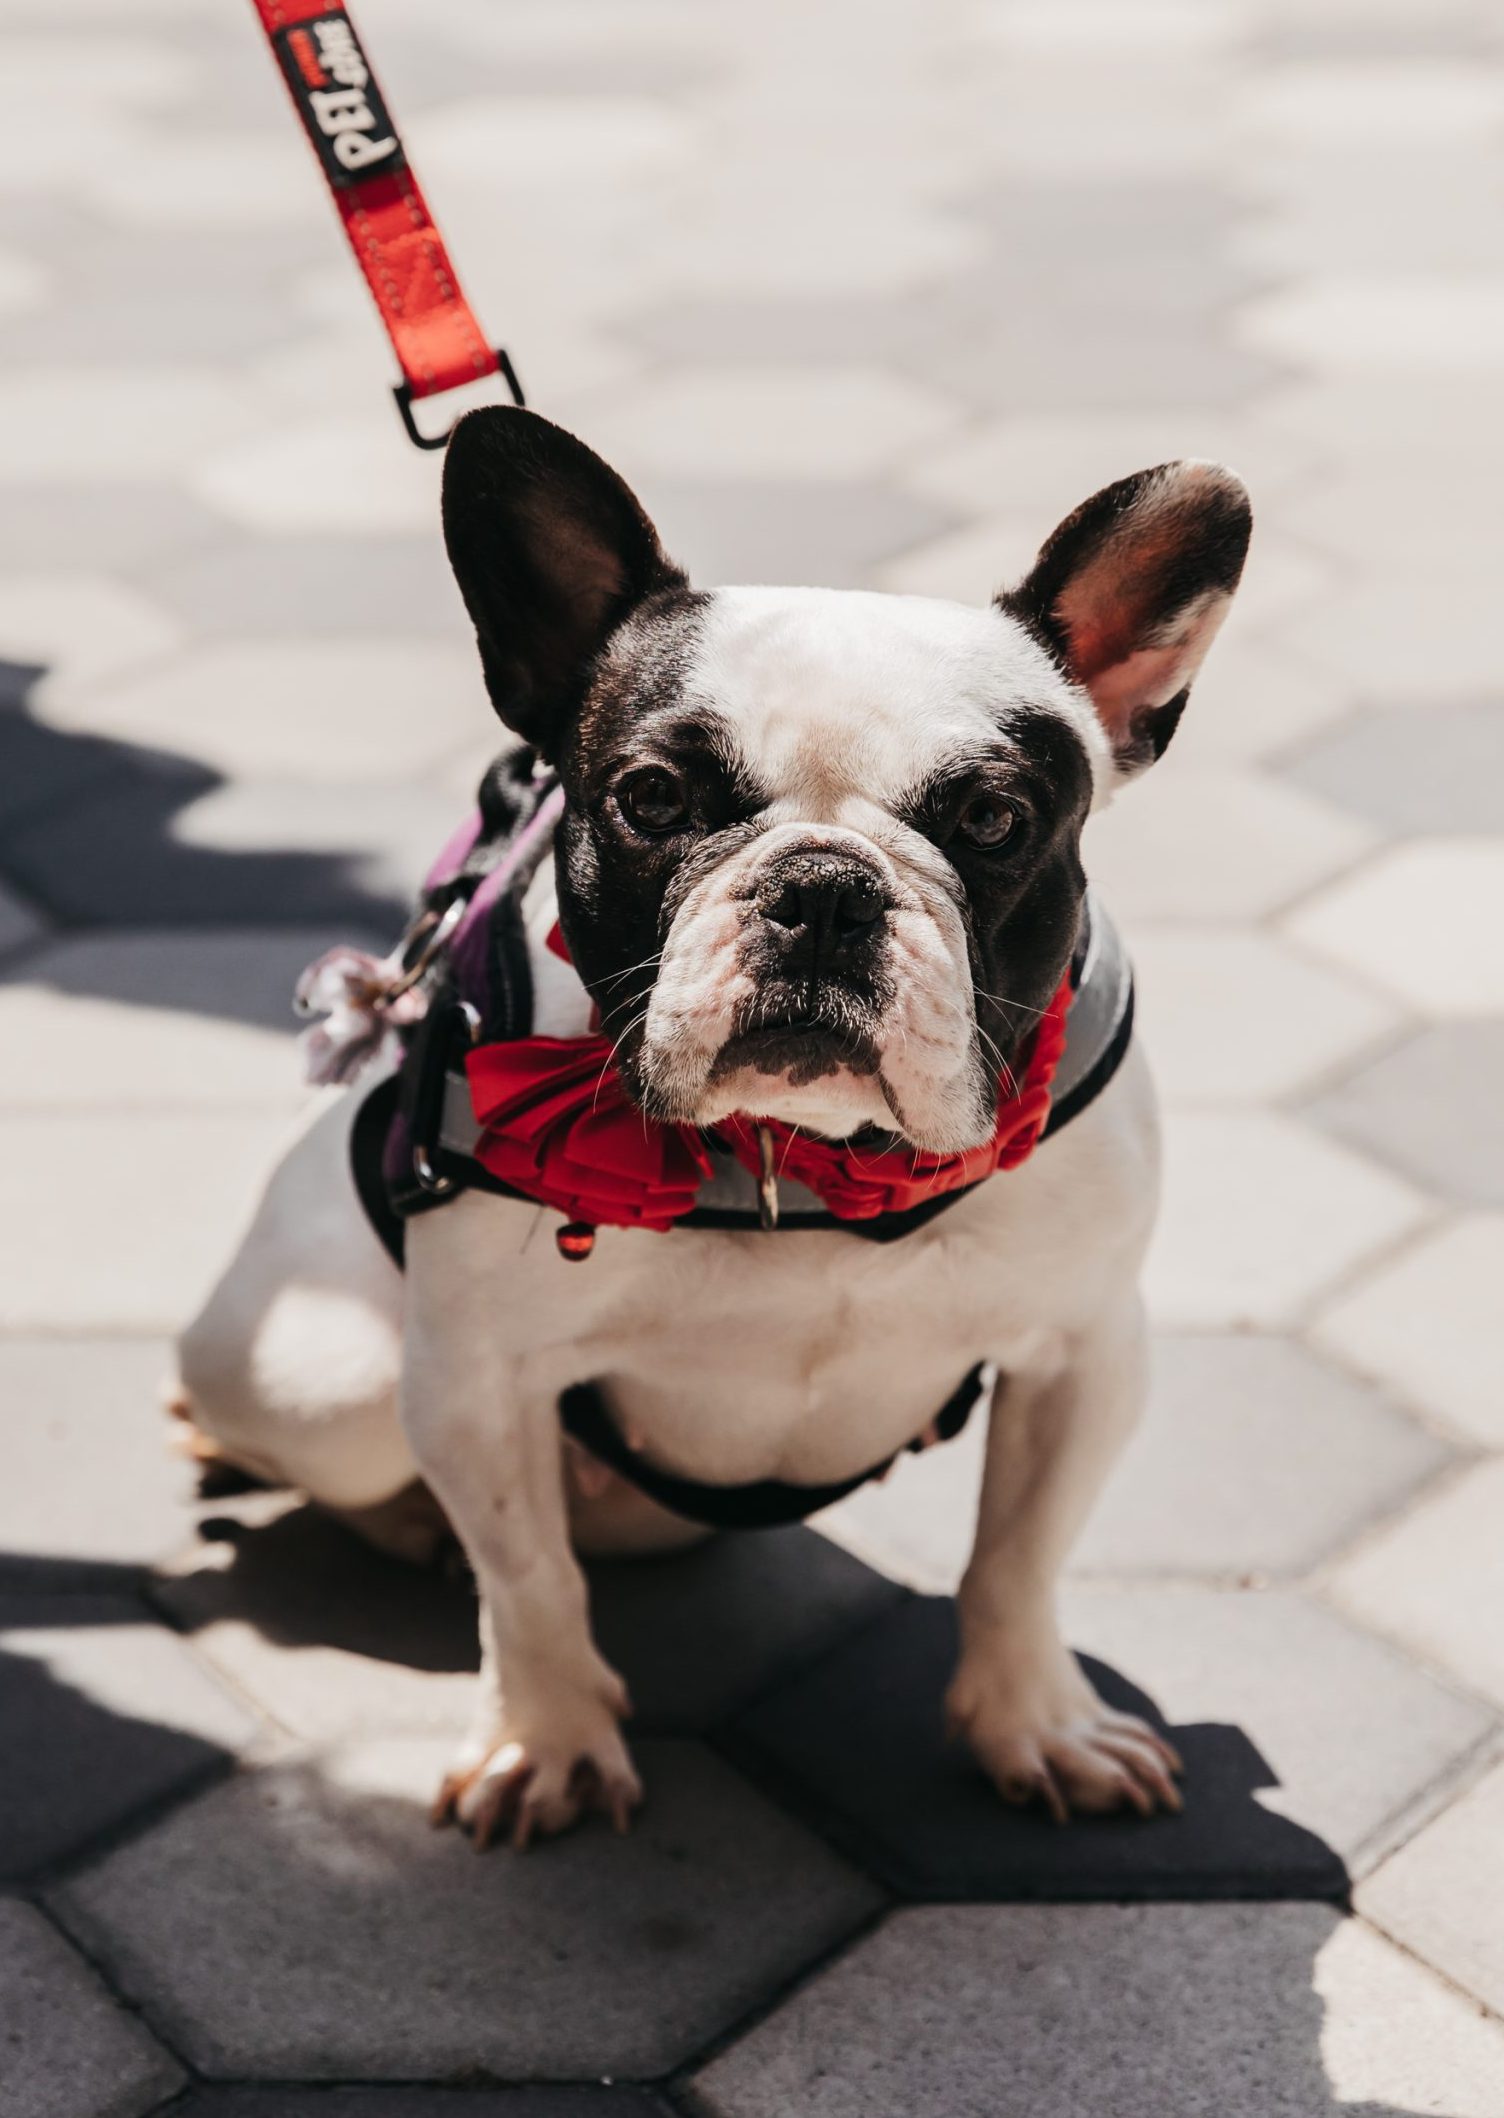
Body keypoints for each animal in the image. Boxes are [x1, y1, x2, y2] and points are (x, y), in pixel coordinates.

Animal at [176, 404, 1254, 1846]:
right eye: (652, 800)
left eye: (993, 818)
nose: (824, 889)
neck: (799, 1163)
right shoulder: (476, 1378)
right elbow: (528, 1578)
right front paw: (545, 1743)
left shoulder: (1082, 1353)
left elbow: (1019, 1557)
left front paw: (1037, 1721)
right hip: (317, 1374)